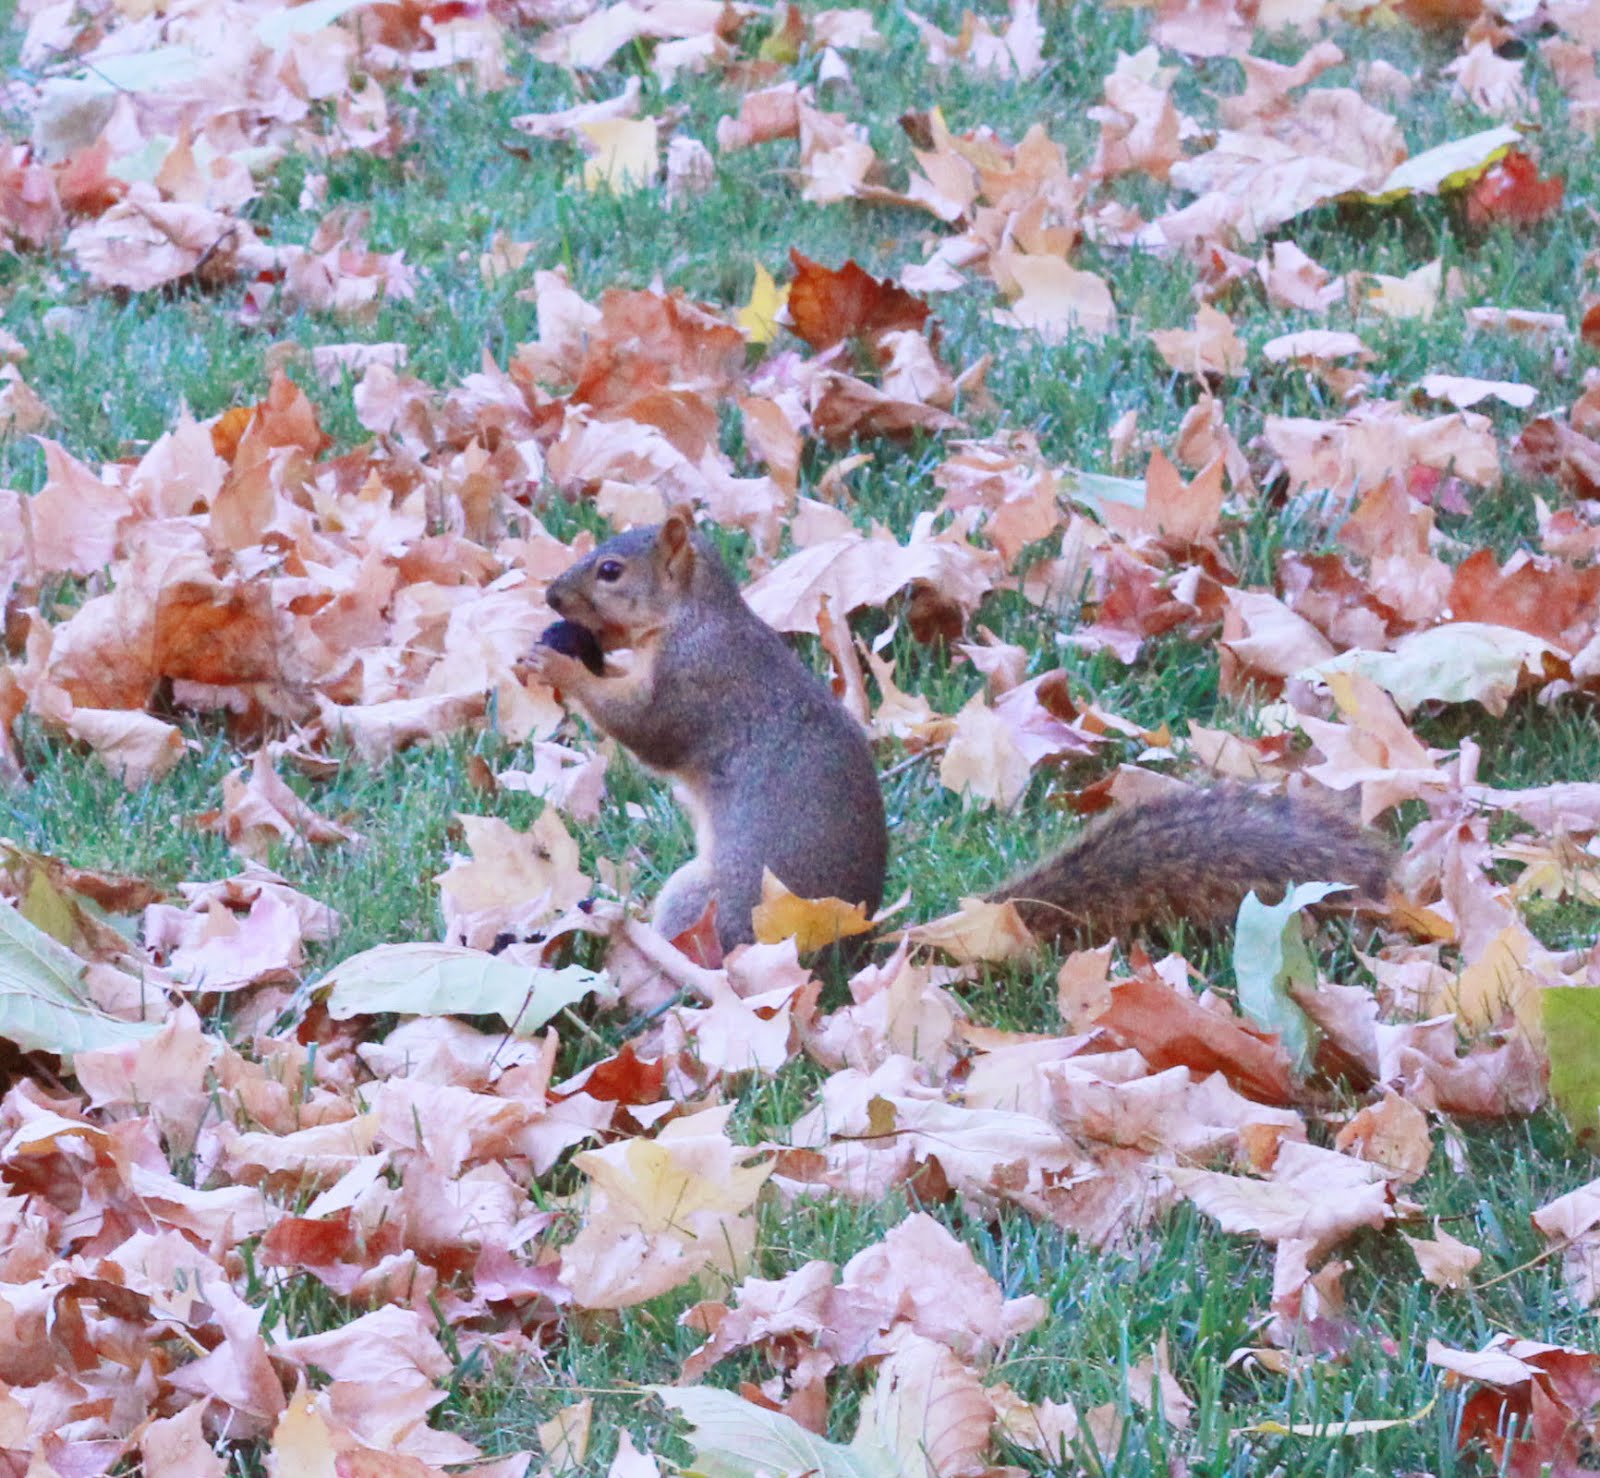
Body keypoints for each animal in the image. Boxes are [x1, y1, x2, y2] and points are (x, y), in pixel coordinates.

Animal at [527, 508, 1391, 955]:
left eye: (611, 571)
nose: (550, 594)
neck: (696, 616)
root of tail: (850, 947)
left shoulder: (700, 684)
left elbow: (648, 730)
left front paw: (564, 666)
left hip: (712, 899)